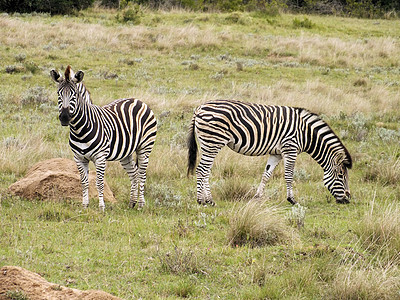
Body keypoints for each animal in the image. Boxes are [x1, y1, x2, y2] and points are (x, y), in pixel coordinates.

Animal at [49, 66, 156, 211]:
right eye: (58, 94)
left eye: (74, 94)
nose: (65, 118)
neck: (79, 130)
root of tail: (138, 100)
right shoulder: (79, 158)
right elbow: (84, 182)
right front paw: (85, 205)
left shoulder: (100, 157)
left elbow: (99, 183)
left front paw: (101, 207)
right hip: (126, 153)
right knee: (134, 173)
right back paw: (132, 203)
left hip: (145, 147)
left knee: (142, 174)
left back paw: (140, 204)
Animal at [186, 99, 352, 205]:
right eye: (341, 176)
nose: (347, 199)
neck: (306, 134)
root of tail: (199, 108)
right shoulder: (290, 149)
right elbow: (289, 175)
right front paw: (292, 199)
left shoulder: (276, 153)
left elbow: (266, 174)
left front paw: (257, 197)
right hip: (213, 142)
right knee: (202, 170)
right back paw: (202, 201)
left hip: (208, 144)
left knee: (206, 171)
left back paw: (209, 200)